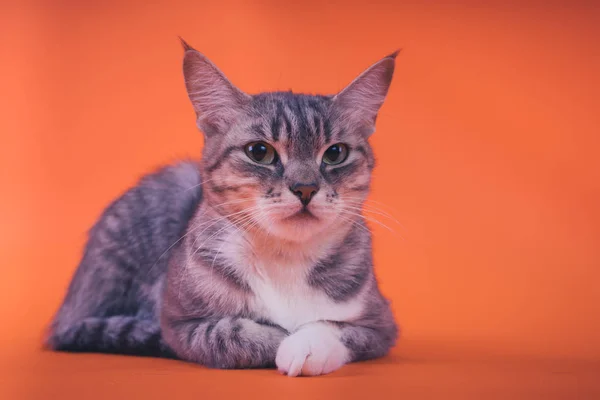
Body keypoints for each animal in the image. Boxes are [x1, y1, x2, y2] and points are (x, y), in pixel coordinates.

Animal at [47, 39, 400, 376]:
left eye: (335, 153)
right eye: (260, 152)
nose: (306, 188)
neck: (284, 259)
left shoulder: (382, 323)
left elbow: (337, 327)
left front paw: (307, 347)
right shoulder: (176, 322)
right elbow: (229, 334)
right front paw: (281, 338)